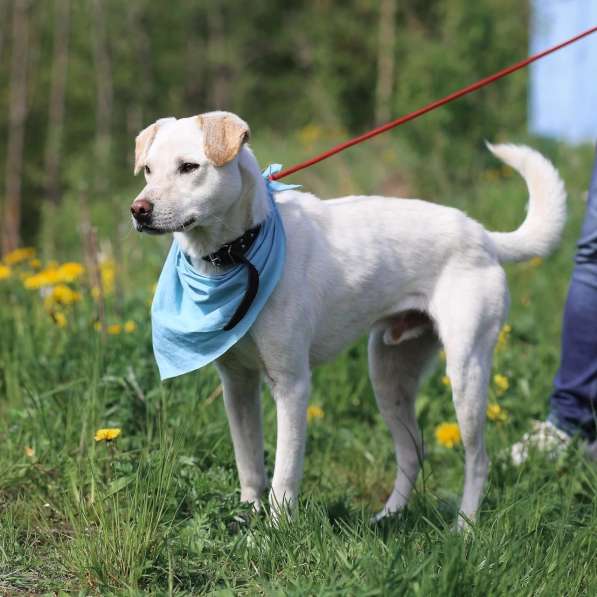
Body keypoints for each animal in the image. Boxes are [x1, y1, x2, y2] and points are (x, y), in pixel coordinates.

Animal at [129, 112, 564, 528]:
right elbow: (250, 466)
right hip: (389, 375)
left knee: (477, 459)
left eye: (189, 167)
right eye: (148, 169)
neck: (238, 254)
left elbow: (284, 475)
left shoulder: (292, 386)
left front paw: (273, 534)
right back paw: (389, 518)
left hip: (465, 374)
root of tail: (484, 236)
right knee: (413, 451)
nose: (138, 210)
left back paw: (465, 528)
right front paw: (245, 519)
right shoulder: (237, 385)